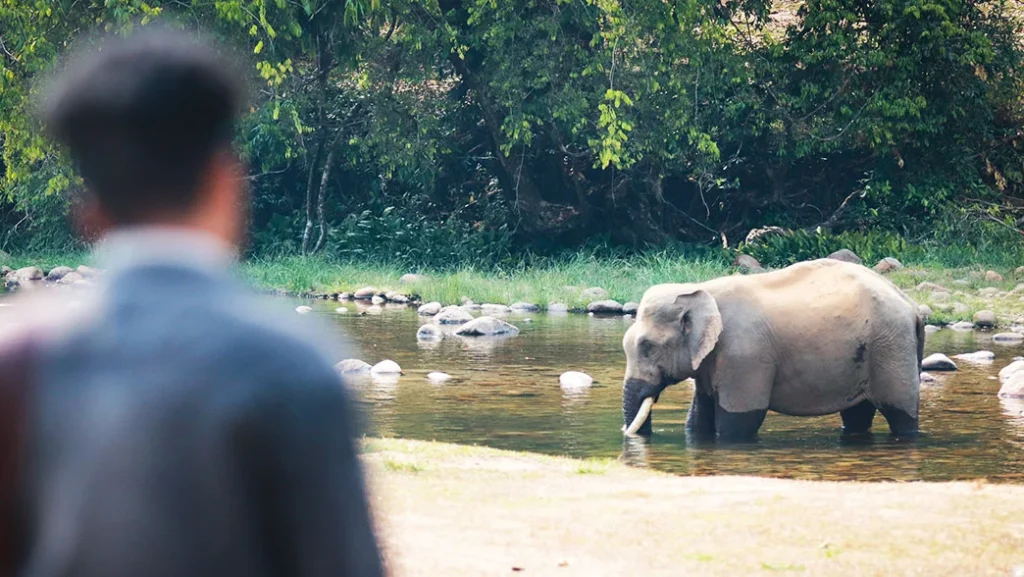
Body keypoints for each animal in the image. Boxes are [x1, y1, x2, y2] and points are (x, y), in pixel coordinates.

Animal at [621, 258, 924, 441]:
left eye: (648, 347)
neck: (699, 290)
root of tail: (912, 308)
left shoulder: (744, 355)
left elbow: (738, 422)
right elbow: (698, 420)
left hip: (892, 348)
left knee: (900, 415)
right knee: (857, 415)